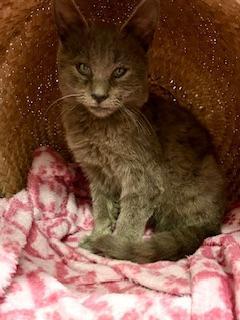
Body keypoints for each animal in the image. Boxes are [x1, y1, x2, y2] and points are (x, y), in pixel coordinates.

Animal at [54, 0, 225, 262]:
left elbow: (130, 216)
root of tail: (214, 223)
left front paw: (116, 246)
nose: (99, 95)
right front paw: (98, 235)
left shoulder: (143, 178)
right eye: (83, 68)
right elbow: (101, 208)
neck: (100, 130)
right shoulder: (96, 173)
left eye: (119, 71)